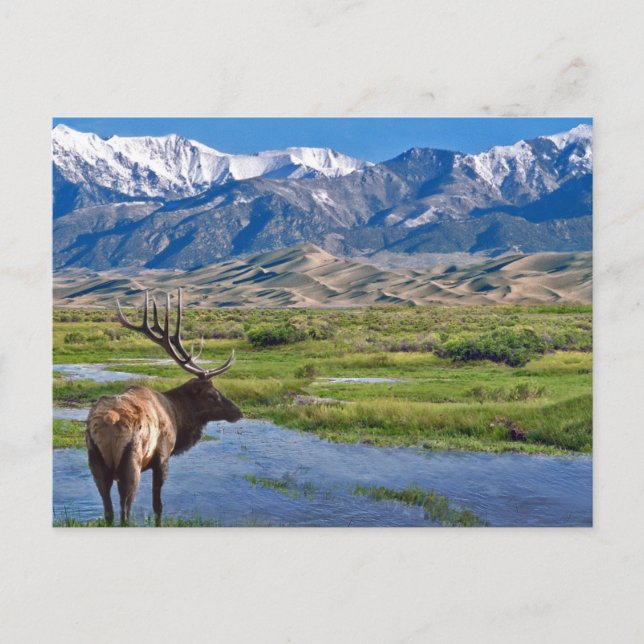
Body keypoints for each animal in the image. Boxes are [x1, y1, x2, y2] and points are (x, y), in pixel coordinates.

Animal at [86, 288, 242, 526]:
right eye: (211, 394)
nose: (238, 412)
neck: (178, 416)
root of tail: (107, 423)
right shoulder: (162, 456)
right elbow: (157, 505)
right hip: (131, 462)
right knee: (125, 512)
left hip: (95, 458)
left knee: (108, 511)